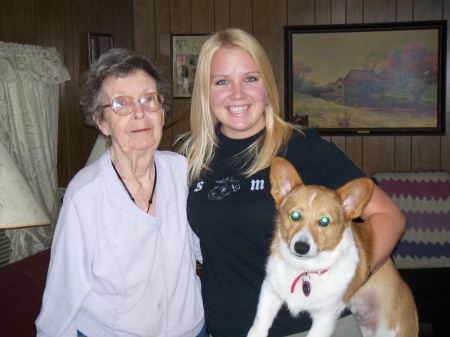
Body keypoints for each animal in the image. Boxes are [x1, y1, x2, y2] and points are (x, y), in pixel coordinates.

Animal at [248, 157, 416, 336]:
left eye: (324, 221)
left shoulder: (325, 317)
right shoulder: (270, 292)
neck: (305, 269)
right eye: (295, 215)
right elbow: (259, 325)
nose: (301, 247)